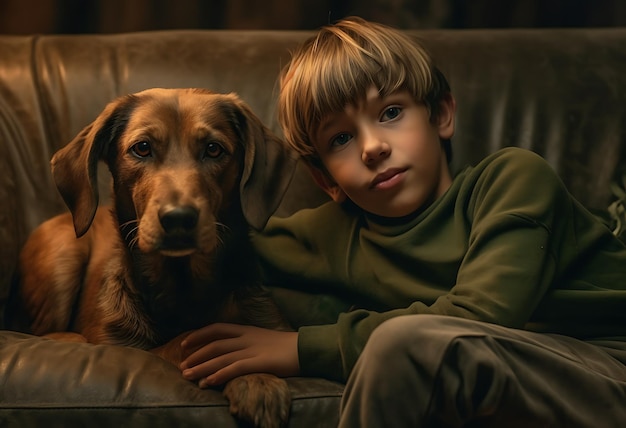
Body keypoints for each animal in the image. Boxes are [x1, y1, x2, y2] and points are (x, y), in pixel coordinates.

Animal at [14, 88, 294, 428]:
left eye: (214, 149)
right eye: (142, 148)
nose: (178, 218)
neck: (182, 287)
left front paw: (257, 377)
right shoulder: (119, 344)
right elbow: (186, 342)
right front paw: (255, 378)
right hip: (62, 254)